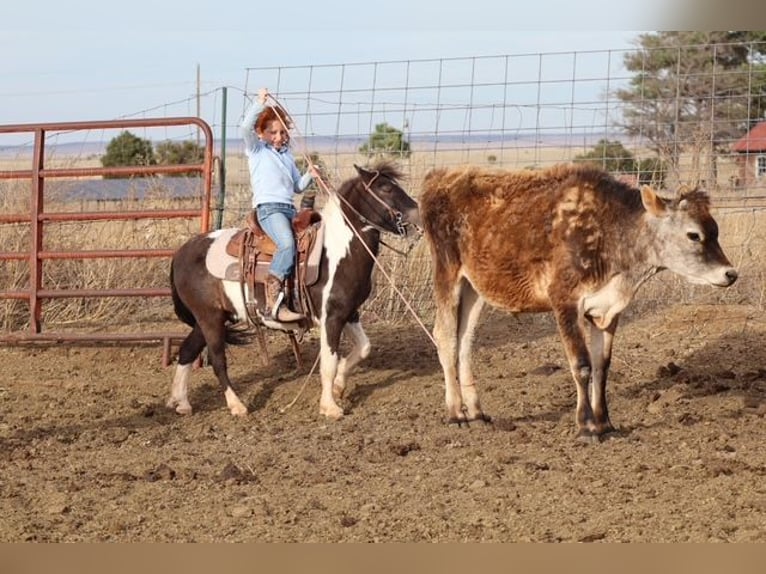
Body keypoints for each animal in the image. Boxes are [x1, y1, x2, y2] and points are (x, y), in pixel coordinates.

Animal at [168, 161, 421, 418]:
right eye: (385, 187)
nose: (417, 212)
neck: (338, 250)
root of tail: (181, 253)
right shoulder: (331, 317)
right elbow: (328, 363)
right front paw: (330, 407)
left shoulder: (349, 313)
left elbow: (363, 348)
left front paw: (339, 387)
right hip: (209, 319)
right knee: (218, 360)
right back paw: (237, 405)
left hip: (210, 318)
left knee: (187, 351)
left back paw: (180, 402)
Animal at [420, 163, 738, 439]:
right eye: (693, 235)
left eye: (716, 230)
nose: (730, 273)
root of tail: (441, 176)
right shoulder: (565, 301)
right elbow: (582, 365)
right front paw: (586, 426)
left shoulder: (608, 310)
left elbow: (601, 366)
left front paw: (605, 422)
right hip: (447, 273)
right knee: (445, 338)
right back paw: (456, 414)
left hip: (474, 288)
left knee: (465, 342)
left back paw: (475, 412)